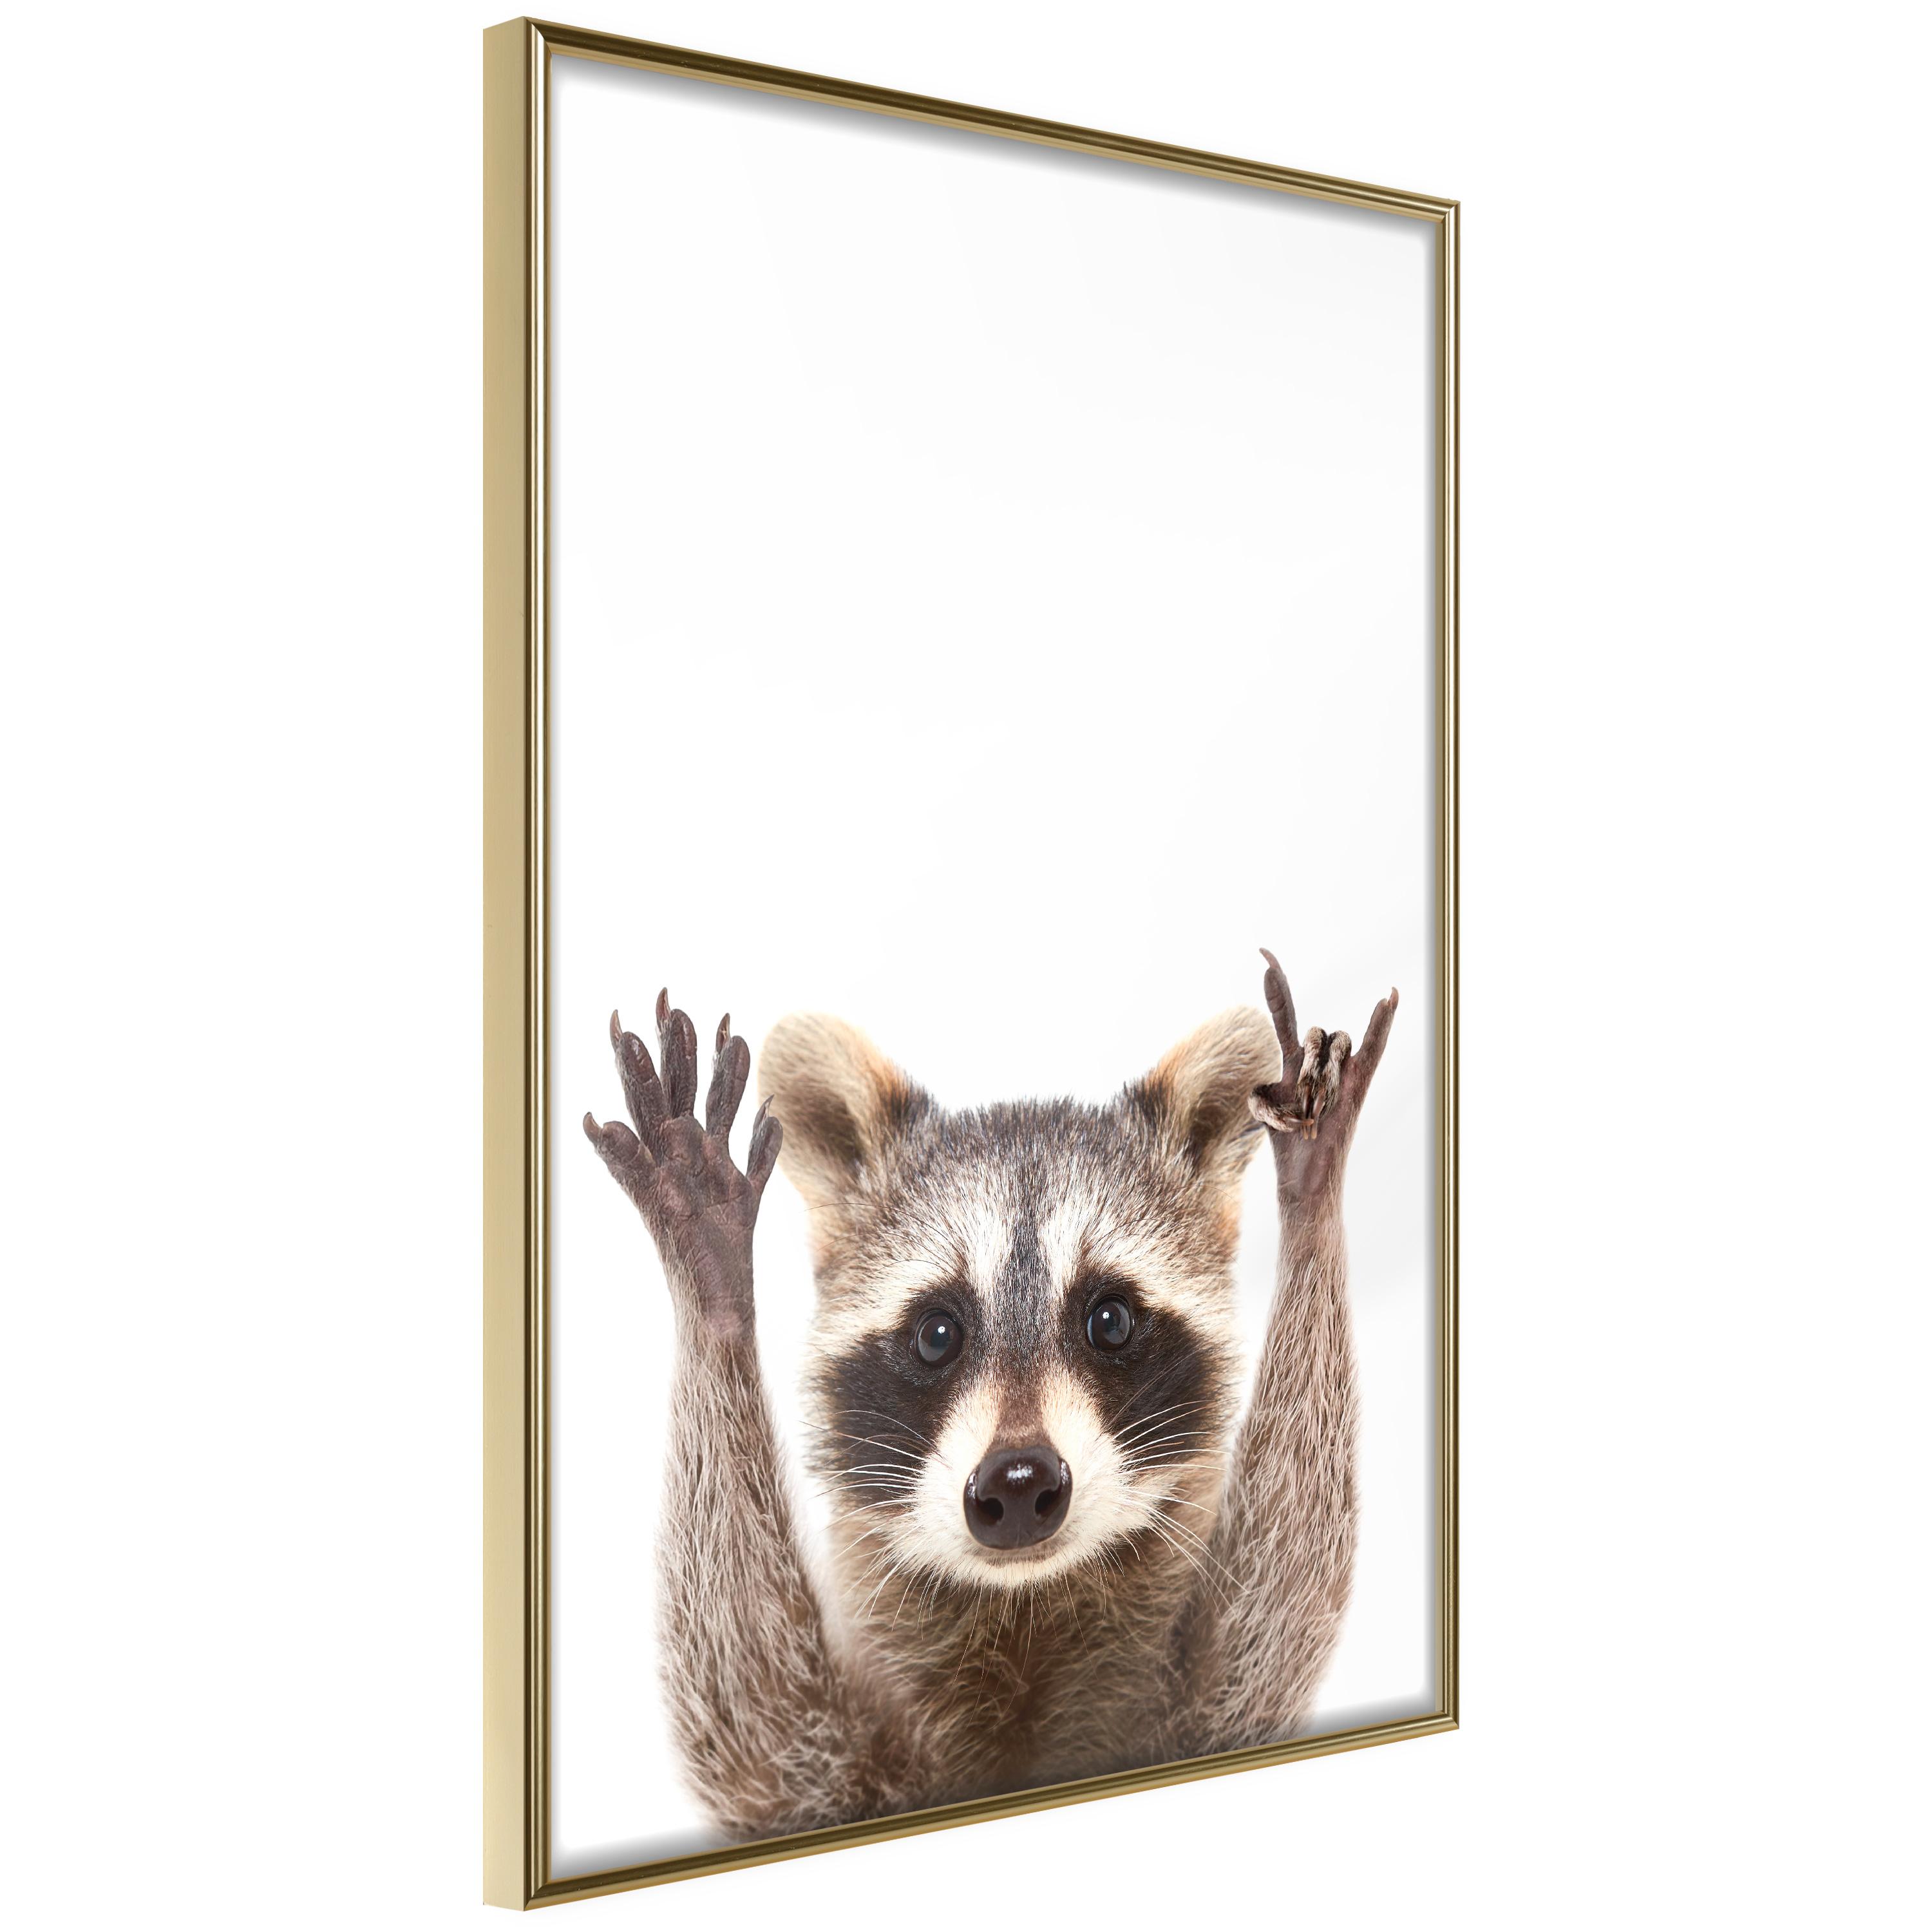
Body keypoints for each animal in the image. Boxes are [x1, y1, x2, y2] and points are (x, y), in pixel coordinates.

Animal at [583, 950, 1396, 1841]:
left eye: (1109, 1319)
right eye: (938, 1334)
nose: (1018, 1482)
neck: (1024, 1611)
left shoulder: (1195, 1712)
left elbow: (1274, 1621)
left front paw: (1313, 1191)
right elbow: (755, 1728)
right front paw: (712, 1280)